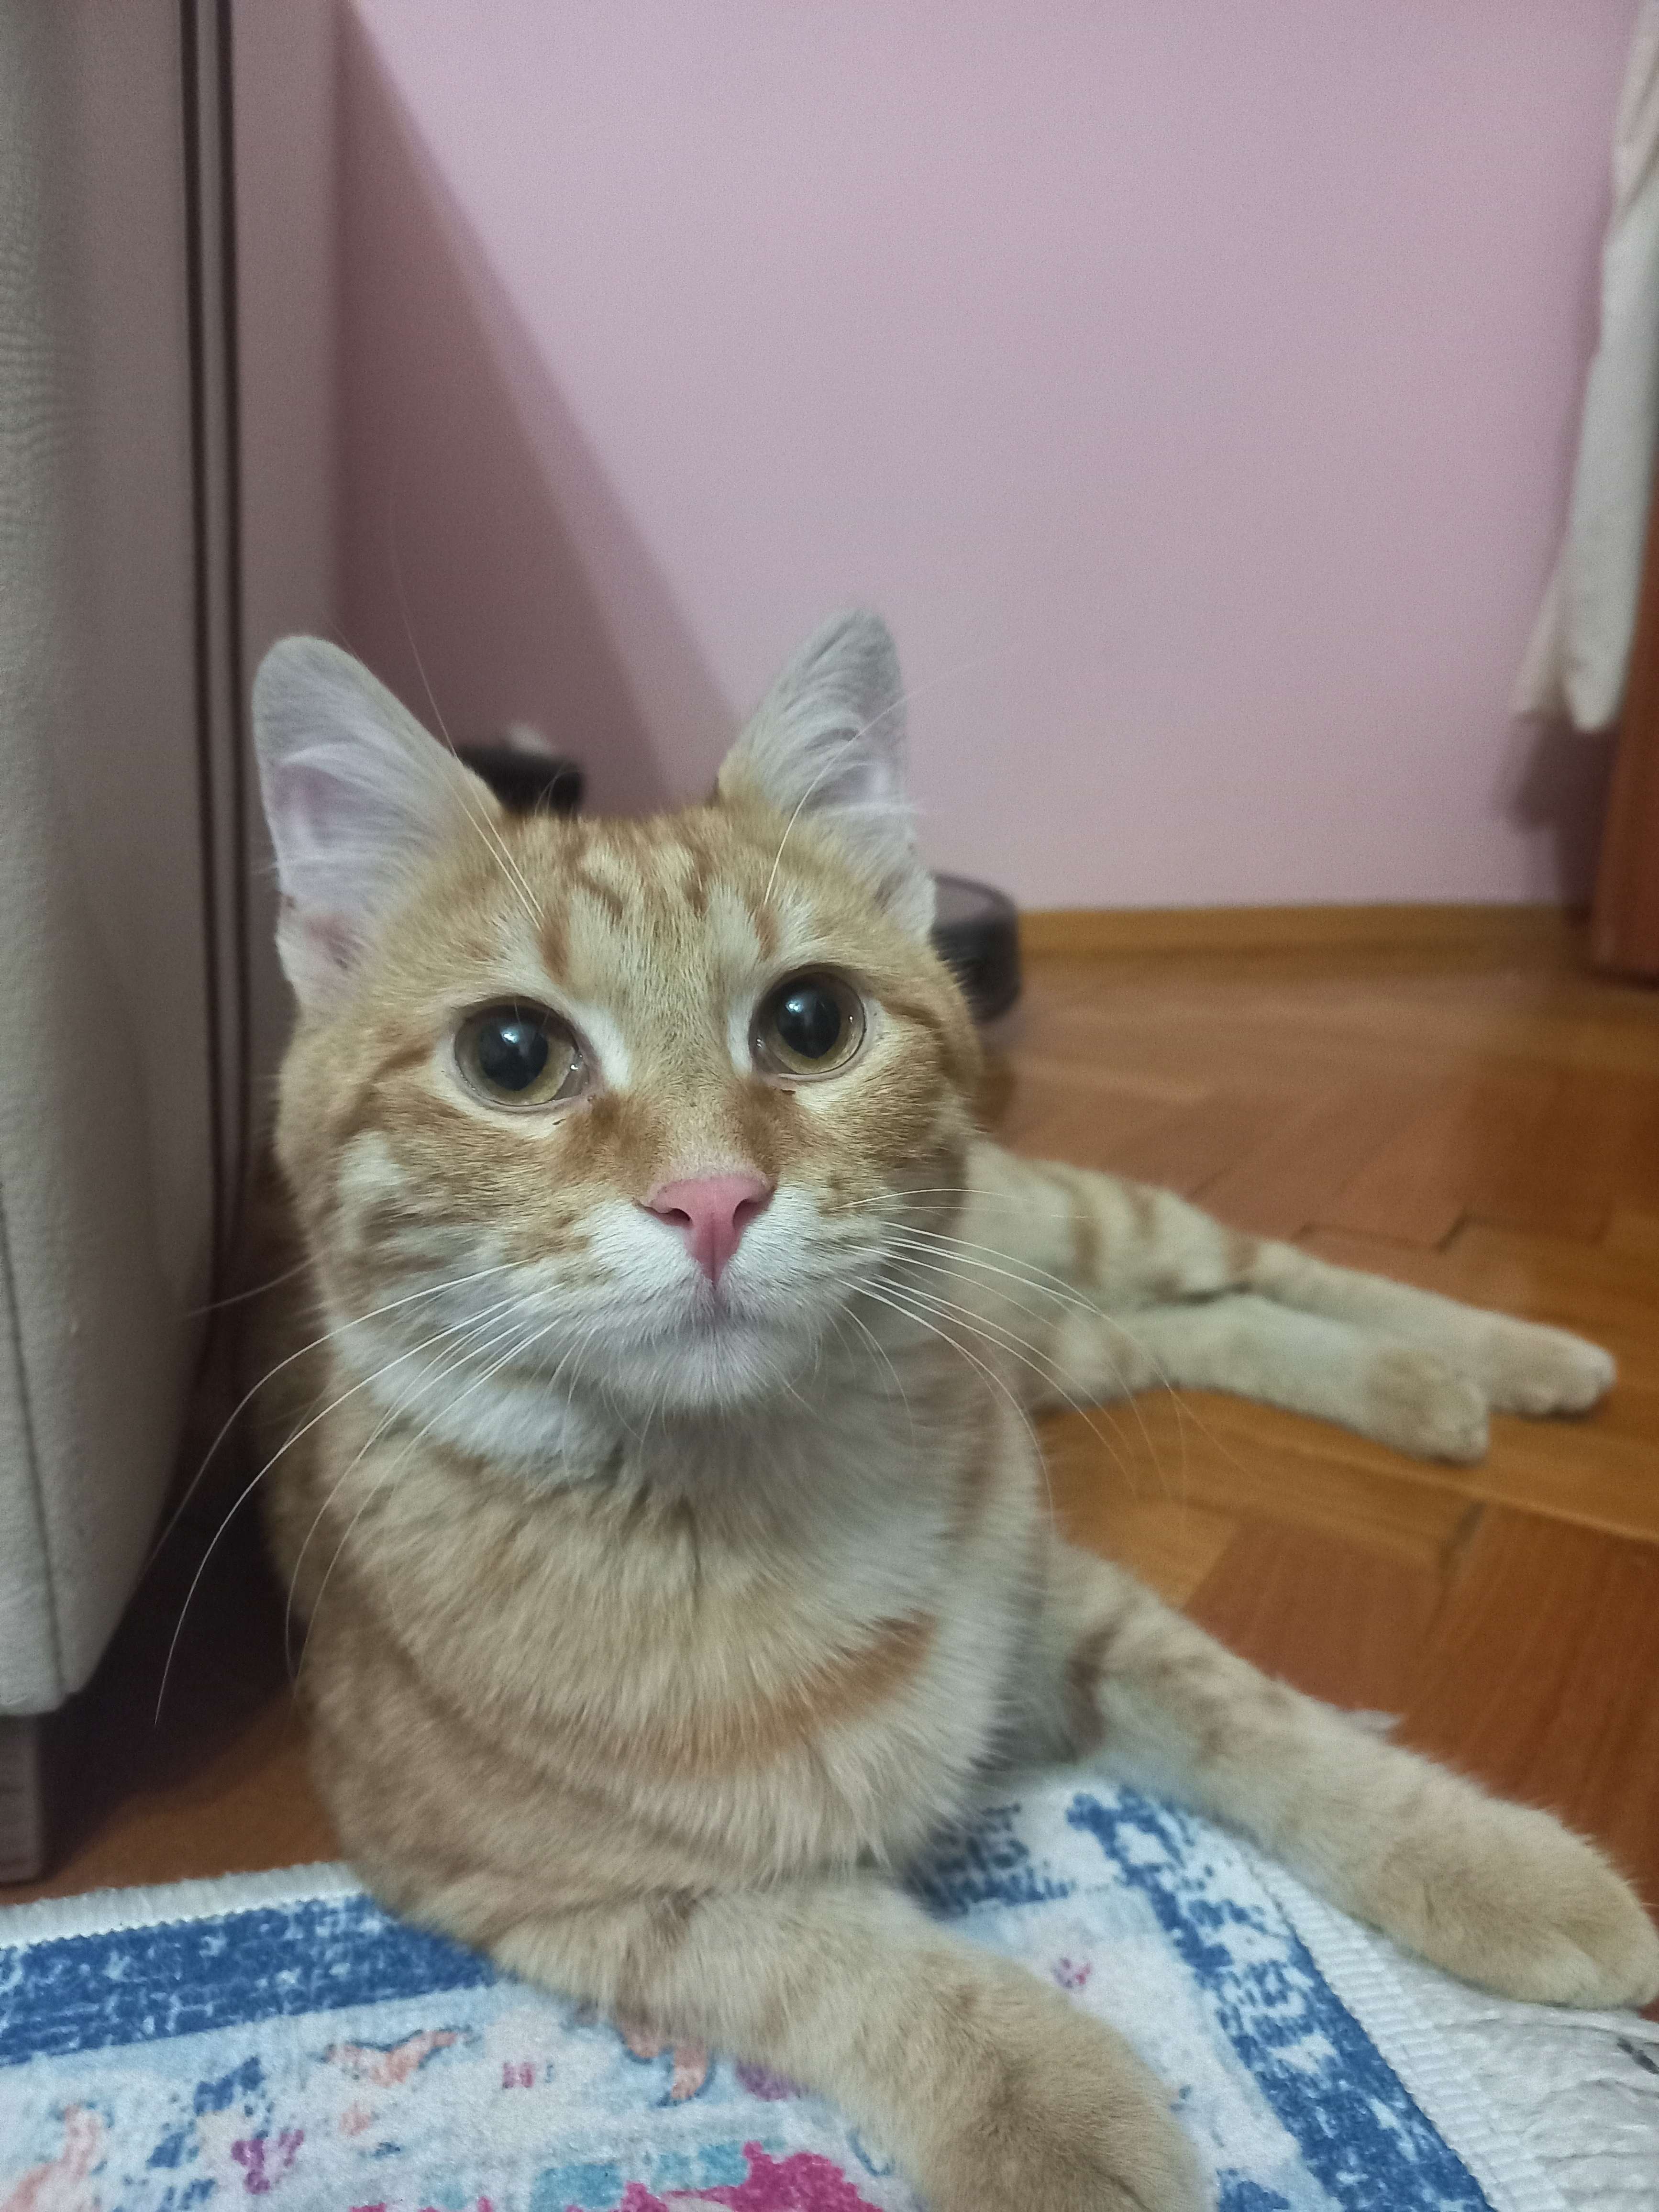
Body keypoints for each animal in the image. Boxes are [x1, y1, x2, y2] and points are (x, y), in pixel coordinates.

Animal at [248, 611, 1659, 2212]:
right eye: (509, 1055)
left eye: (809, 1021)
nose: (713, 1197)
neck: (753, 1495)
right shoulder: (537, 1889)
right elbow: (838, 1958)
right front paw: (1053, 2107)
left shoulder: (1075, 1603)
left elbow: (1270, 1722)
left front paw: (1494, 1862)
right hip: (1063, 1343)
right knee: (1192, 1327)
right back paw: (1429, 1389)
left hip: (1089, 1231)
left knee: (1264, 1268)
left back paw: (1503, 1354)